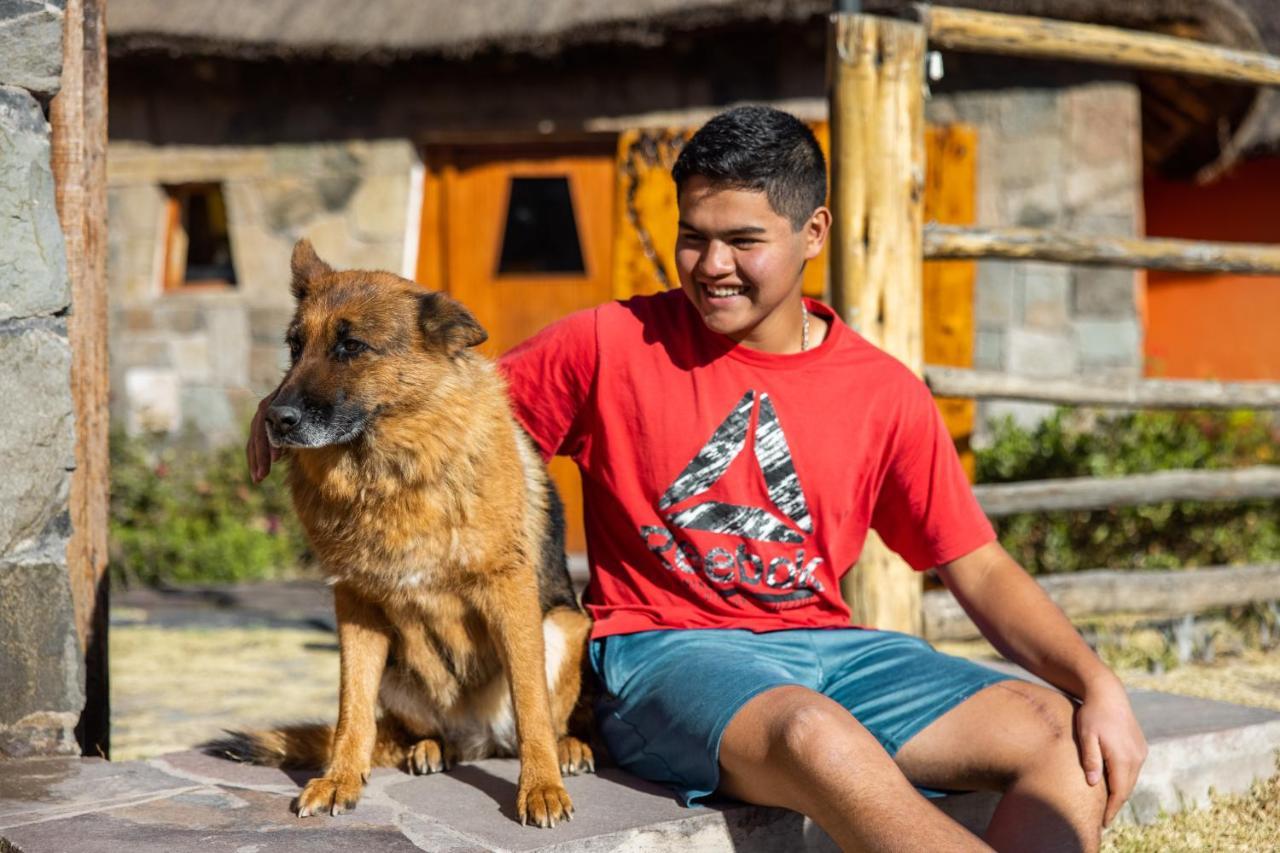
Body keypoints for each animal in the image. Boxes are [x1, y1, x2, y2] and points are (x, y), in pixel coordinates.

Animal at [215, 239, 593, 824]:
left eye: (350, 346)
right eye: (295, 347)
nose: (275, 418)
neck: (389, 471)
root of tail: (482, 739)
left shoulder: (510, 592)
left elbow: (531, 705)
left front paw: (541, 788)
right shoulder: (353, 605)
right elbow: (350, 710)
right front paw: (339, 780)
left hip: (562, 627)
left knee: (546, 718)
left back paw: (567, 748)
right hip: (399, 668)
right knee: (414, 731)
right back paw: (429, 748)